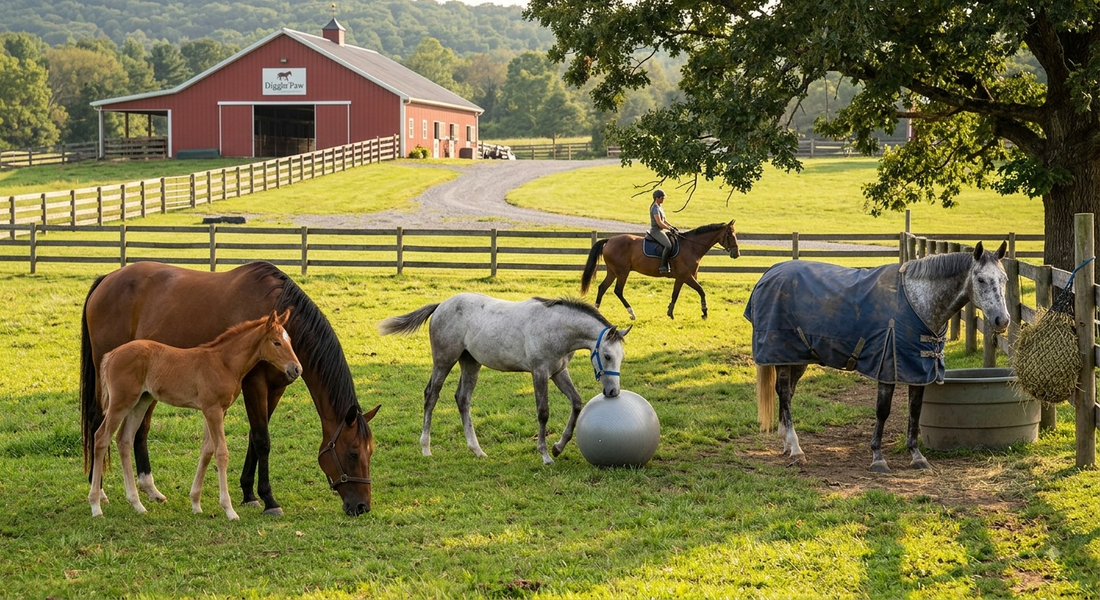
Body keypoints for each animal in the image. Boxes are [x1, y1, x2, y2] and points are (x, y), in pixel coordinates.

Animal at [88, 310, 302, 520]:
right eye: (276, 342)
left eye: (290, 340)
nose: (296, 369)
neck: (224, 363)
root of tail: (111, 354)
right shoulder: (213, 410)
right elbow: (221, 452)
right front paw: (229, 509)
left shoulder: (216, 410)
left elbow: (206, 451)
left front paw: (196, 504)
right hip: (121, 402)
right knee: (101, 437)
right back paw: (96, 505)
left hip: (141, 401)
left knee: (123, 439)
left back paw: (137, 505)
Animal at [378, 293, 631, 464]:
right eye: (607, 356)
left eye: (621, 356)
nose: (613, 392)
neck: (556, 328)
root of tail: (441, 305)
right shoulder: (539, 373)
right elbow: (543, 412)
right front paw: (545, 455)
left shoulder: (558, 372)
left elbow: (576, 403)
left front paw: (558, 447)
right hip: (444, 361)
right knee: (431, 396)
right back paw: (426, 449)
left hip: (471, 362)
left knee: (462, 398)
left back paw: (477, 450)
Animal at [580, 220, 740, 320]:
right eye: (730, 235)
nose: (736, 253)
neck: (691, 247)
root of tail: (609, 240)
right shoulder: (686, 276)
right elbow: (700, 291)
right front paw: (704, 313)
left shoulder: (683, 278)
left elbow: (676, 294)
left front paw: (670, 312)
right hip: (622, 272)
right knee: (618, 291)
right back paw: (632, 314)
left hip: (613, 272)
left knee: (602, 288)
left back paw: (597, 312)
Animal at [746, 241, 1010, 472]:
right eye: (980, 279)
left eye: (1004, 279)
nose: (1002, 320)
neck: (918, 302)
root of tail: (770, 273)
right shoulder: (888, 367)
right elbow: (883, 411)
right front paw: (878, 458)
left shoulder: (918, 370)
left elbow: (915, 411)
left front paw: (917, 456)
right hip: (781, 353)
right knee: (784, 394)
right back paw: (796, 449)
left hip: (797, 357)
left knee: (787, 393)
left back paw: (786, 443)